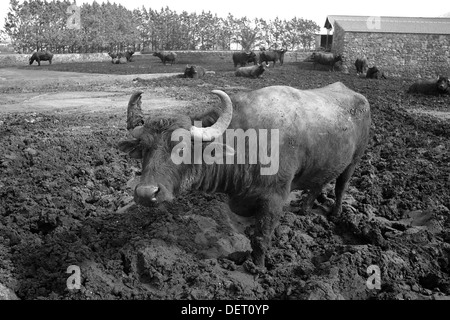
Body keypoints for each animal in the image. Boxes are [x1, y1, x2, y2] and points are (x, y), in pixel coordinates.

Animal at [118, 82, 370, 268]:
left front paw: (257, 267)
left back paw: (336, 213)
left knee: (340, 186)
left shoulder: (274, 199)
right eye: (144, 148)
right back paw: (304, 209)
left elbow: (260, 238)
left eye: (182, 147)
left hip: (354, 161)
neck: (246, 143)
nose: (145, 193)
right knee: (318, 184)